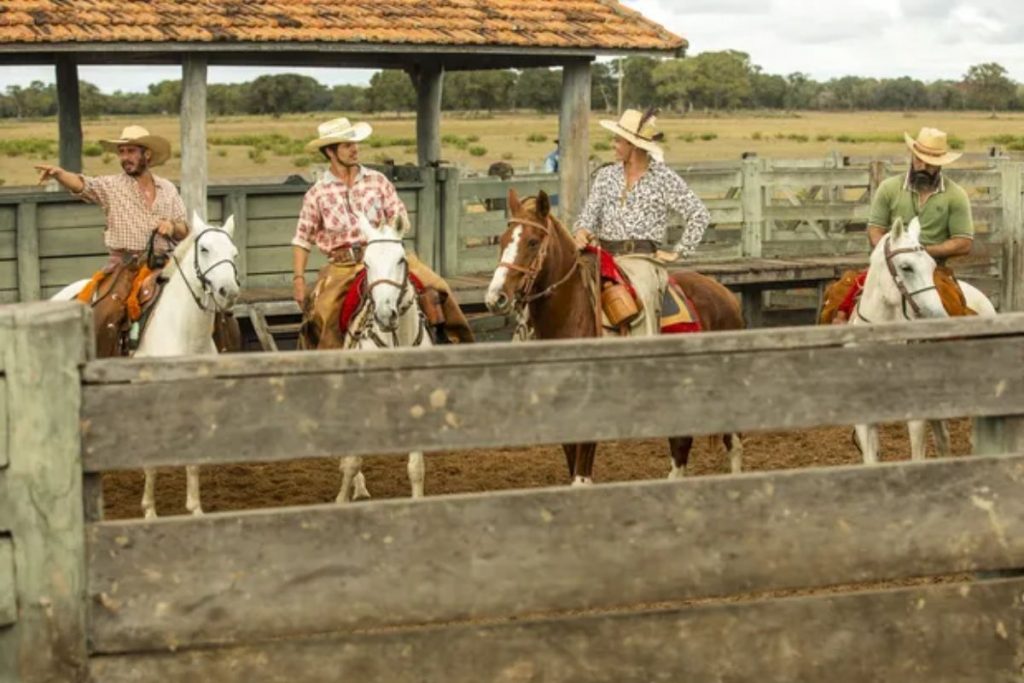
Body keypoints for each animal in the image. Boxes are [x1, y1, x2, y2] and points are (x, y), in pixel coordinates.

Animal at [54, 214, 241, 518]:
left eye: (234, 253)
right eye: (204, 249)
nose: (229, 291)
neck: (182, 331)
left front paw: (195, 509)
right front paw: (150, 511)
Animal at [335, 216, 432, 505]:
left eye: (401, 259)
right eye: (366, 263)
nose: (385, 314)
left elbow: (416, 468)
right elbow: (353, 461)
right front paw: (341, 499)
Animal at [487, 189, 745, 483]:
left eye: (532, 241)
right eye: (503, 239)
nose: (496, 297)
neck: (571, 313)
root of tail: (726, 295)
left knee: (733, 442)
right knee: (681, 444)